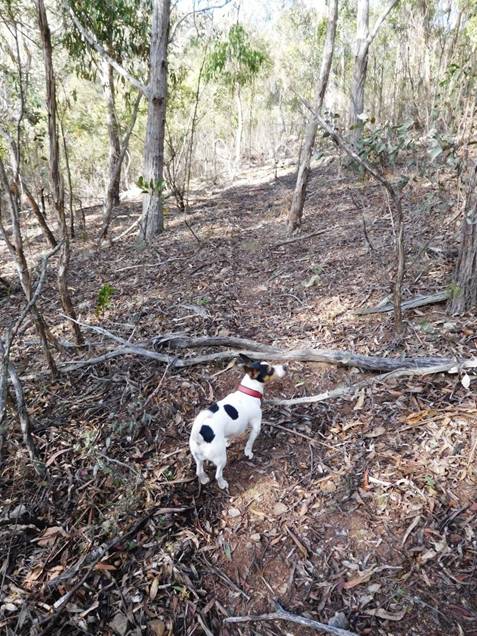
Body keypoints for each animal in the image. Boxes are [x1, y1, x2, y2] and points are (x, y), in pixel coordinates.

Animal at [189, 354, 286, 490]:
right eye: (270, 370)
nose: (285, 367)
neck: (249, 392)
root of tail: (199, 434)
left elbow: (229, 436)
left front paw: (228, 442)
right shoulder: (256, 427)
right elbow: (249, 443)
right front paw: (248, 453)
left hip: (197, 457)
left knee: (199, 471)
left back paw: (203, 479)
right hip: (221, 459)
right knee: (218, 474)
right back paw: (222, 484)